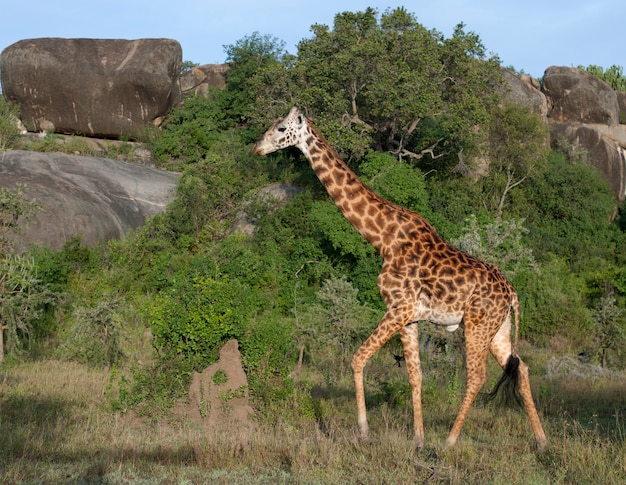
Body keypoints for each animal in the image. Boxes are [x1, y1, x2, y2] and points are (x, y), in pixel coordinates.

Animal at [252, 106, 544, 450]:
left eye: (280, 128)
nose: (257, 148)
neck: (382, 238)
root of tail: (512, 293)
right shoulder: (410, 317)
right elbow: (415, 375)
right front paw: (417, 438)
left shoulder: (397, 308)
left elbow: (357, 358)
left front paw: (364, 430)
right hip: (498, 328)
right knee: (522, 368)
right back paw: (541, 441)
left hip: (477, 323)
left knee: (477, 376)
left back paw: (450, 440)